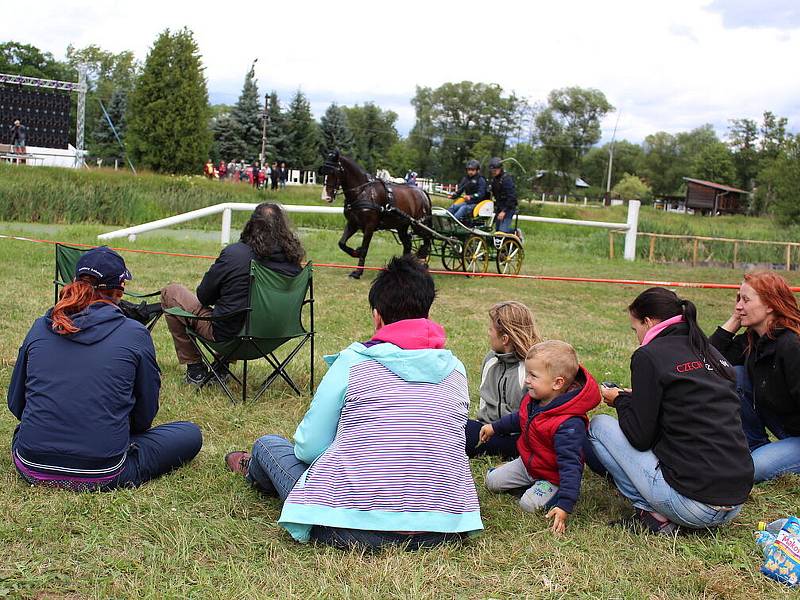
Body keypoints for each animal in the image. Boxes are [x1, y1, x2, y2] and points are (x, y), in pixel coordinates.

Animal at [318, 151, 432, 280]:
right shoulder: (353, 223)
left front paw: (358, 272)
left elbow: (364, 248)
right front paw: (355, 252)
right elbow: (342, 243)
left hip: (418, 225)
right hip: (402, 226)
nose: (325, 197)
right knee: (408, 244)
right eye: (323, 172)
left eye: (333, 172)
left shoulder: (369, 226)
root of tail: (422, 192)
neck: (362, 192)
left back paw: (422, 260)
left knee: (427, 238)